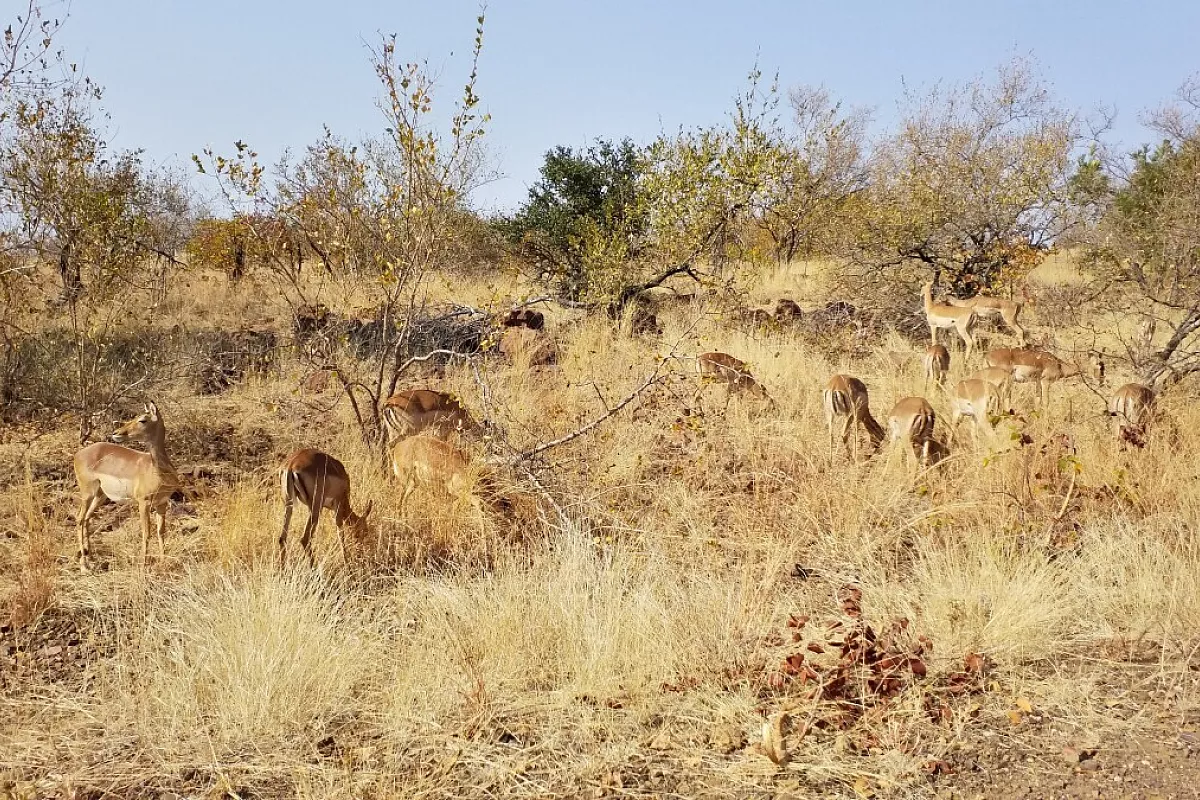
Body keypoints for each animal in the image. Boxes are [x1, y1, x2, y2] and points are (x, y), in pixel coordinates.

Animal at [73, 402, 180, 572]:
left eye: (142, 420)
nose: (116, 432)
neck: (159, 472)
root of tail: (78, 454)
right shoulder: (144, 502)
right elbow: (146, 533)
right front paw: (143, 566)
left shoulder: (162, 503)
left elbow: (161, 532)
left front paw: (163, 563)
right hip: (87, 493)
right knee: (79, 519)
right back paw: (84, 565)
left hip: (100, 495)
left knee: (87, 518)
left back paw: (91, 557)